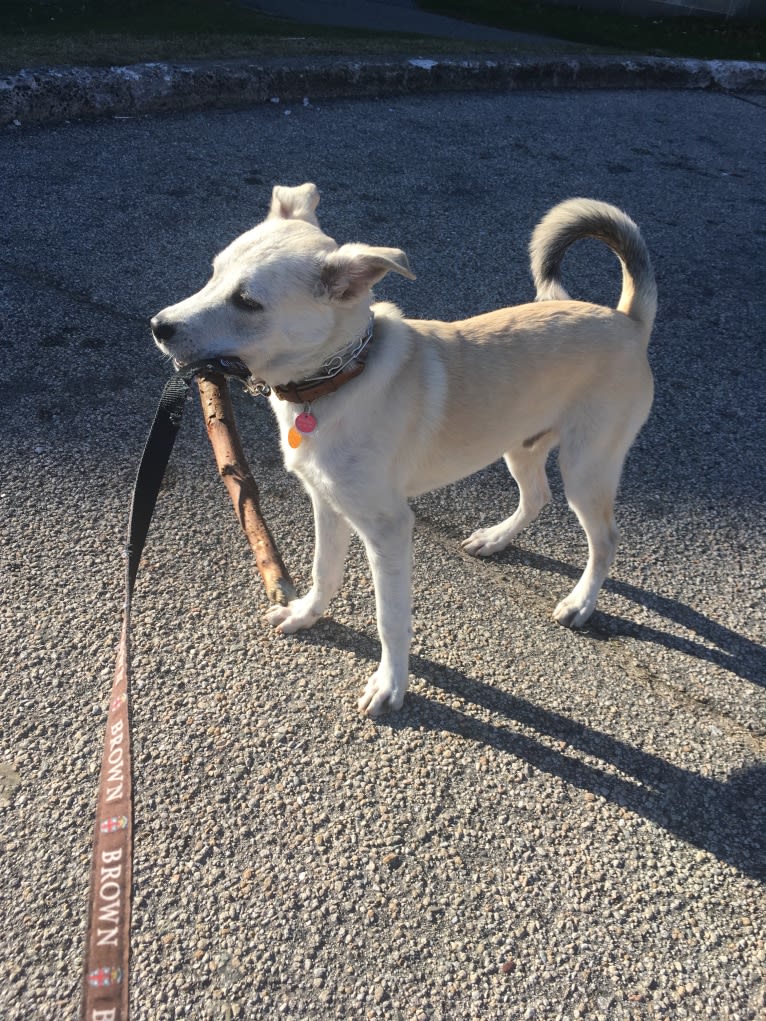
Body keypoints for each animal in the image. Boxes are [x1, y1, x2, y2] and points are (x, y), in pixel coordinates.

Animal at [153, 183, 657, 714]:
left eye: (248, 302)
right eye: (214, 271)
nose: (158, 326)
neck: (336, 380)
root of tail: (627, 321)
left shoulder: (388, 528)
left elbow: (390, 618)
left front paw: (391, 684)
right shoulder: (327, 504)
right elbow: (323, 570)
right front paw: (307, 613)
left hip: (586, 467)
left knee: (604, 539)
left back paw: (581, 601)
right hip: (519, 445)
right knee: (537, 495)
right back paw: (496, 539)